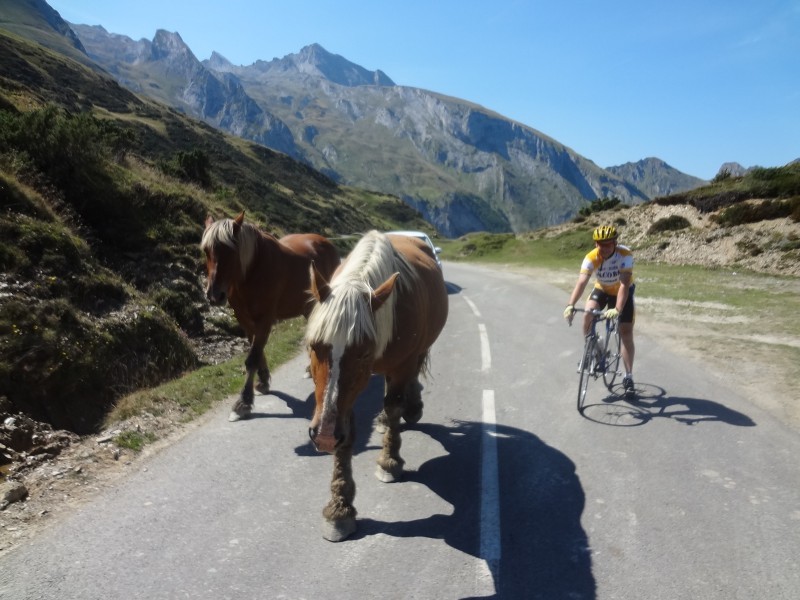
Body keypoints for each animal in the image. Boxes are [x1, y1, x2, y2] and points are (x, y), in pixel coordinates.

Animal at [200, 211, 340, 422]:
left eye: (231, 251)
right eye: (207, 251)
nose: (215, 295)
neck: (253, 270)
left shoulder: (265, 320)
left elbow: (253, 358)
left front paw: (243, 402)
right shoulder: (245, 320)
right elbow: (257, 353)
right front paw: (263, 381)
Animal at [306, 229, 450, 540]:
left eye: (362, 353)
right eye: (314, 347)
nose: (323, 435)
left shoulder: (402, 364)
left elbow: (395, 406)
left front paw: (389, 461)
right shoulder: (342, 401)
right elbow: (347, 434)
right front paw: (340, 507)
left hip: (416, 353)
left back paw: (412, 408)